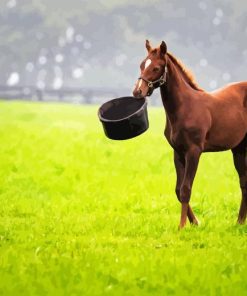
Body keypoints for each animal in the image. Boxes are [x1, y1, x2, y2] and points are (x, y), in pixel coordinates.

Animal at [133, 39, 247, 229]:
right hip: (239, 148)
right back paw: (239, 222)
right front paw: (195, 222)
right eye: (142, 65)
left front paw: (182, 226)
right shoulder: (178, 152)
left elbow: (186, 189)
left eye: (156, 68)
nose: (137, 92)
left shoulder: (194, 151)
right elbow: (178, 190)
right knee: (244, 182)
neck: (184, 107)